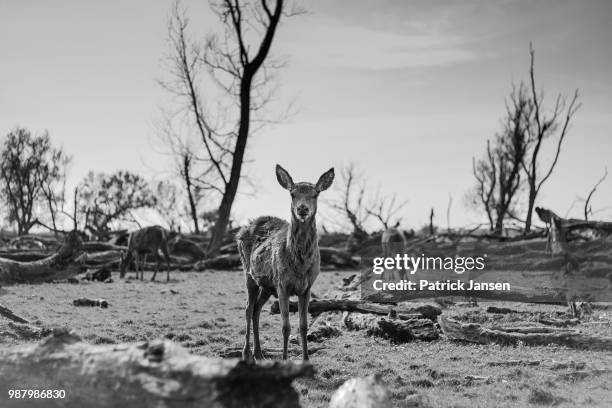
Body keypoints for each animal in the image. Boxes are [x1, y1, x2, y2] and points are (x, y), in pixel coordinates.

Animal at [237, 164, 334, 362]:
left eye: (316, 194)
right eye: (292, 194)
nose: (302, 209)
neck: (300, 264)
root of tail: (240, 231)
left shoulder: (307, 287)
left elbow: (303, 326)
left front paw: (306, 359)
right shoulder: (282, 284)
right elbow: (285, 326)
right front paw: (284, 359)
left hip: (266, 285)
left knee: (257, 309)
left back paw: (259, 354)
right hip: (248, 273)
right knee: (248, 309)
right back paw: (246, 354)